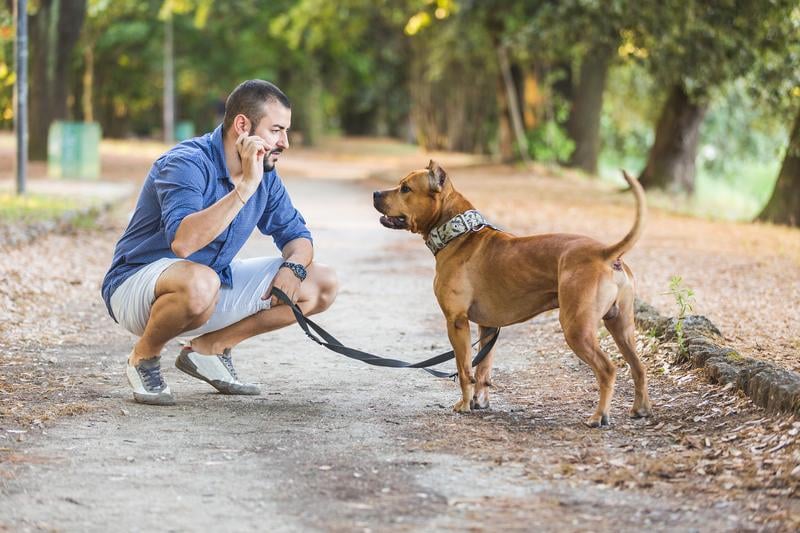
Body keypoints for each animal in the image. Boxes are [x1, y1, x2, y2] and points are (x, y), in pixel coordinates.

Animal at [372, 160, 652, 426]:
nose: (375, 193)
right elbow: (482, 369)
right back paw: (641, 409)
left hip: (577, 329)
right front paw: (479, 401)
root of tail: (604, 253)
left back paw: (599, 416)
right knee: (638, 367)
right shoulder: (488, 326)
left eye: (405, 188)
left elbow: (464, 369)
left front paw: (464, 404)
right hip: (622, 327)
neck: (458, 234)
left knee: (607, 369)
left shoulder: (457, 322)